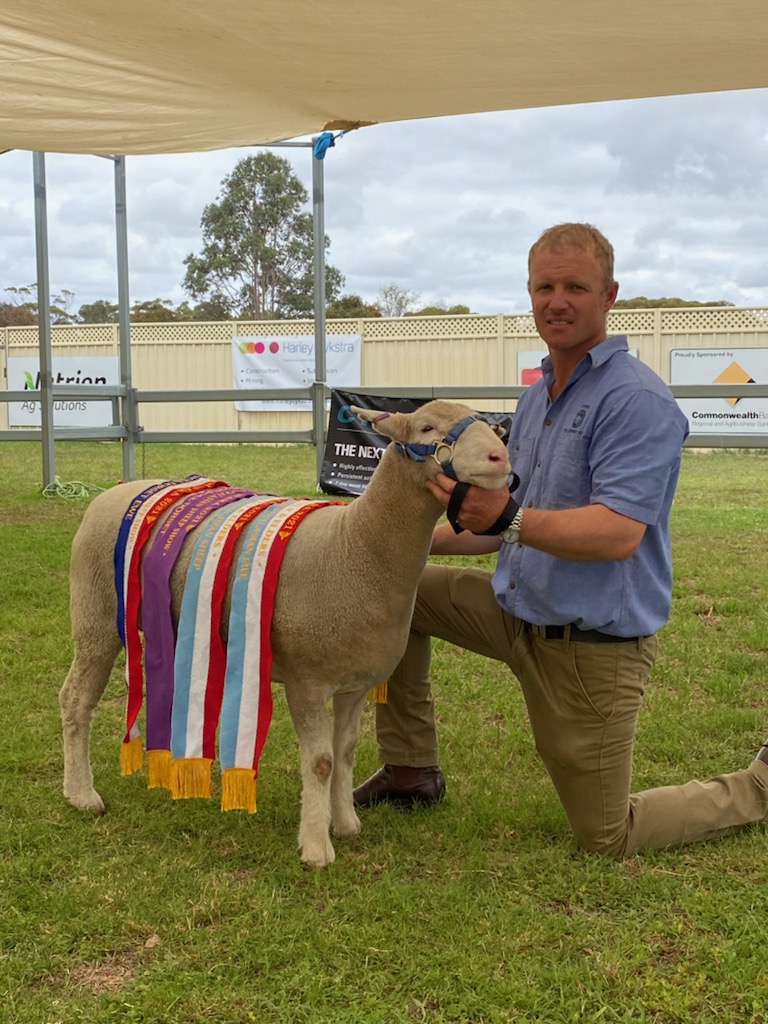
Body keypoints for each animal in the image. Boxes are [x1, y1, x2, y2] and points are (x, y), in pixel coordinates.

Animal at [59, 400, 512, 867]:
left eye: (492, 425)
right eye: (426, 427)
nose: (500, 458)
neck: (356, 547)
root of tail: (111, 492)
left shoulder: (355, 684)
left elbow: (345, 752)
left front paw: (345, 823)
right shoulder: (306, 681)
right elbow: (321, 762)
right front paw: (316, 846)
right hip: (96, 616)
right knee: (75, 699)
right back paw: (81, 794)